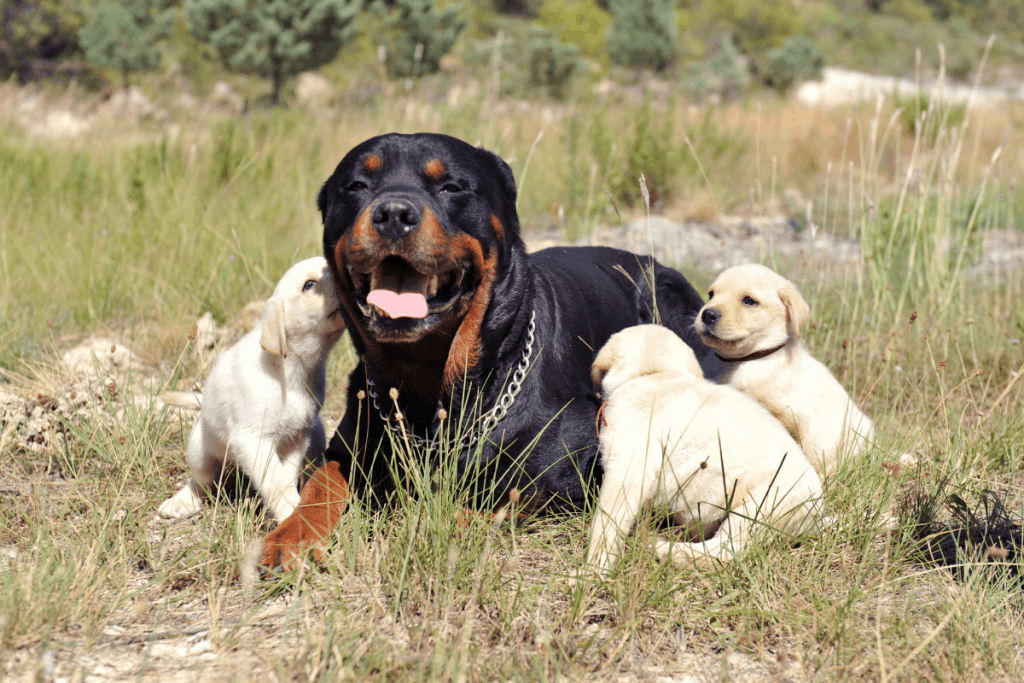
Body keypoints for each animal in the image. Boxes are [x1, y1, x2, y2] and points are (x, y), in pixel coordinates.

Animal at [157, 258, 346, 524]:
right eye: (309, 284)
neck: (290, 370)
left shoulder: (296, 438)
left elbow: (285, 477)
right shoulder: (252, 439)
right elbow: (275, 481)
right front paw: (290, 513)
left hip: (316, 437)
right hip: (199, 451)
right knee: (201, 481)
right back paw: (182, 502)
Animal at [260, 132, 716, 565]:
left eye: (451, 187)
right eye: (356, 185)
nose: (393, 215)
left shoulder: (572, 468)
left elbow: (475, 507)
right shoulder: (350, 442)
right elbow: (321, 483)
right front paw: (290, 537)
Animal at [585, 325, 823, 573]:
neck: (656, 374)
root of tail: (816, 515)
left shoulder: (626, 470)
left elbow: (606, 525)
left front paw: (590, 571)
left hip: (756, 510)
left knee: (725, 552)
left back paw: (664, 549)